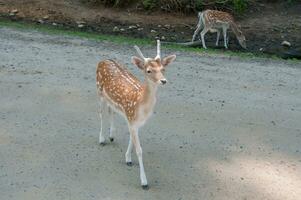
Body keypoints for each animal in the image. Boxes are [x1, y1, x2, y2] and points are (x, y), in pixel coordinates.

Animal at [96, 39, 176, 188]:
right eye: (149, 70)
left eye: (163, 69)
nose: (163, 81)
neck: (140, 105)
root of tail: (103, 60)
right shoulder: (131, 117)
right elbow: (139, 149)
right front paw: (144, 182)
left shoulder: (136, 122)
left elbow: (132, 140)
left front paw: (128, 159)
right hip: (99, 92)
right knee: (101, 113)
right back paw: (102, 139)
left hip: (110, 99)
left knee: (110, 110)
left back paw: (111, 136)